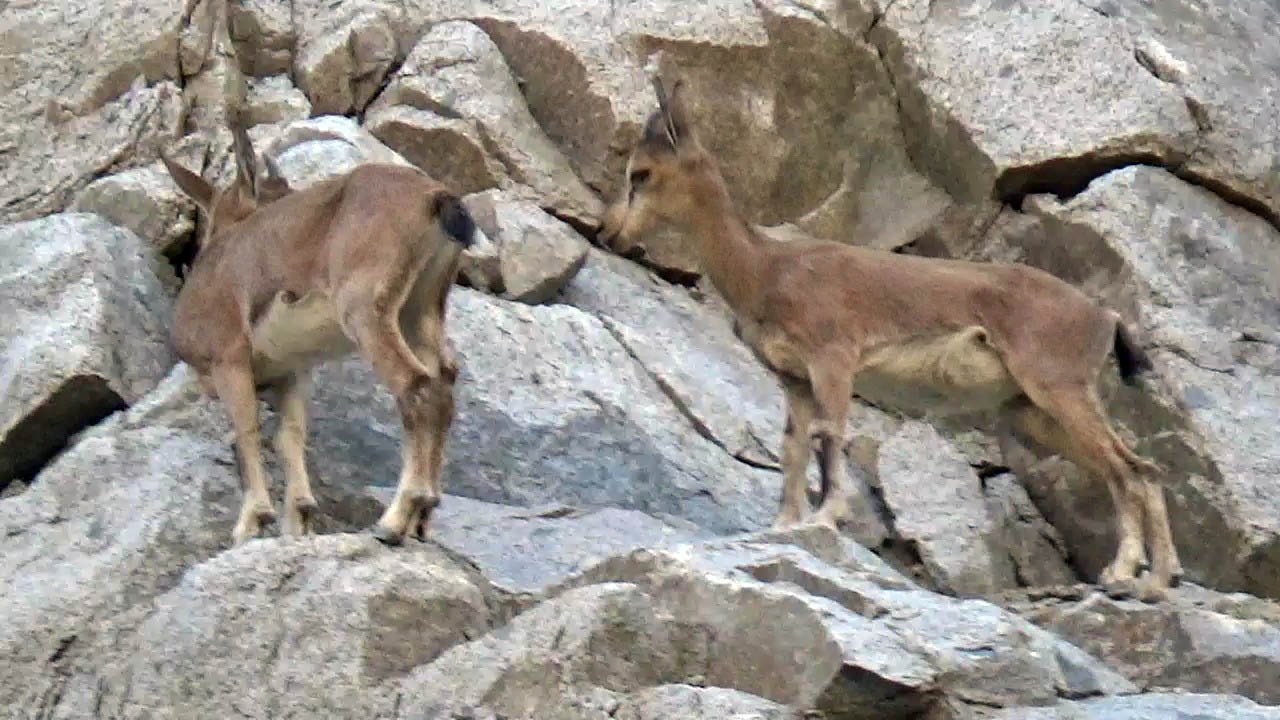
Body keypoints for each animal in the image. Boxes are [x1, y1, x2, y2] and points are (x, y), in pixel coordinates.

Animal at [161, 122, 476, 543]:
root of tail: (435, 198)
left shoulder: (229, 358)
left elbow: (246, 429)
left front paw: (252, 521)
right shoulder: (291, 371)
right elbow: (289, 437)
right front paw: (298, 518)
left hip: (364, 310)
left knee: (415, 386)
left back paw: (394, 518)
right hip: (420, 308)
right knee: (443, 383)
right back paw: (421, 519)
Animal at [596, 75, 1177, 599]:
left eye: (641, 173)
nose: (608, 232)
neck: (765, 268)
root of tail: (1104, 317)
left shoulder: (834, 359)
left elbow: (830, 434)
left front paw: (826, 518)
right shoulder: (794, 379)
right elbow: (792, 447)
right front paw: (783, 525)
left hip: (1059, 387)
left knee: (1130, 470)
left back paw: (1131, 576)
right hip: (1031, 410)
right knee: (1137, 469)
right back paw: (1148, 577)